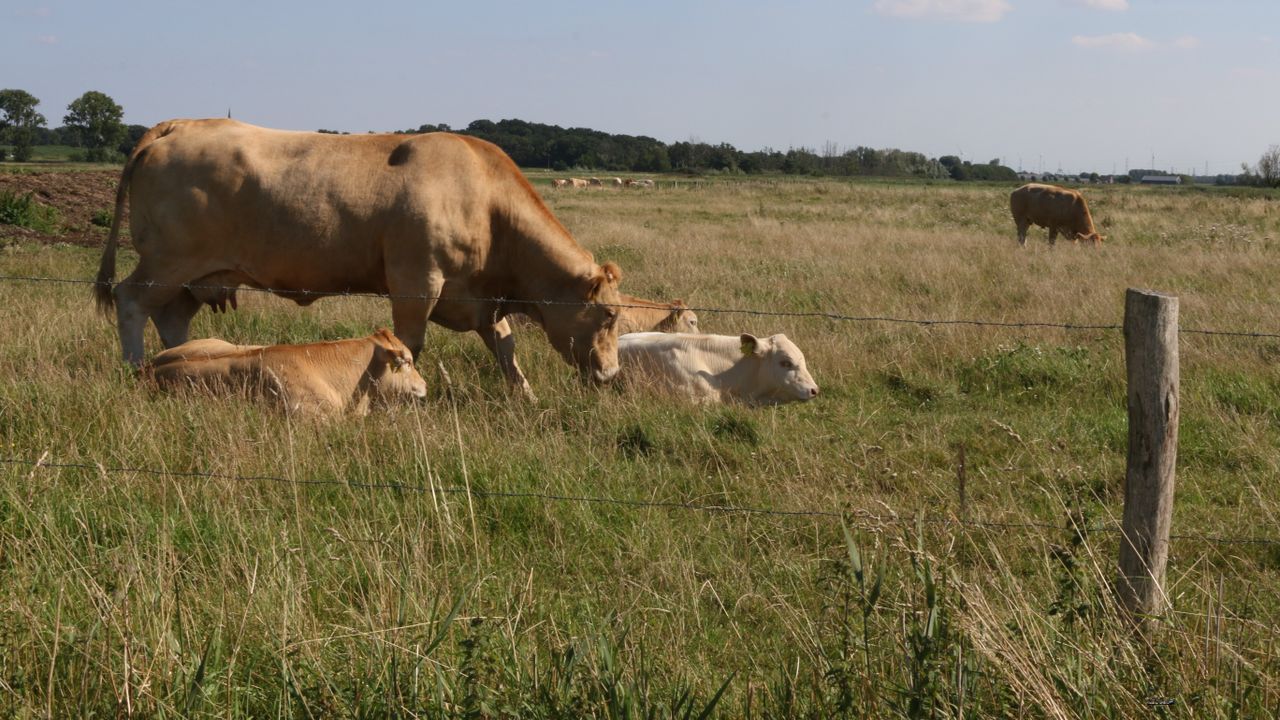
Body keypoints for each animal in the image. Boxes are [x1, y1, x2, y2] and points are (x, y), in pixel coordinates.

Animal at [93, 119, 625, 400]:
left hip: (195, 276)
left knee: (172, 317)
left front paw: (527, 397)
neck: (488, 205)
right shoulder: (416, 284)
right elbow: (411, 343)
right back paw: (133, 367)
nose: (612, 374)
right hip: (167, 263)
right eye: (609, 314)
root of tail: (179, 125)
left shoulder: (479, 300)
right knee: (130, 300)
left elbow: (506, 348)